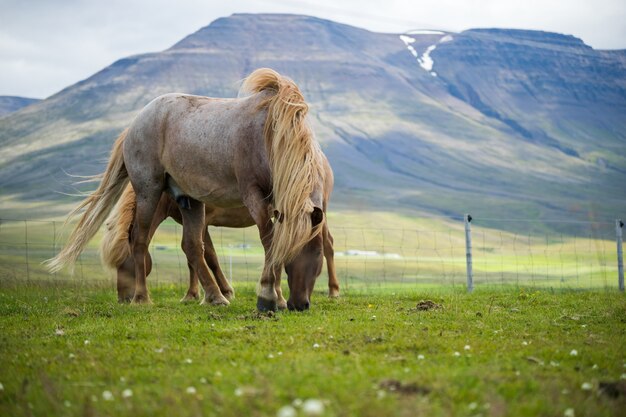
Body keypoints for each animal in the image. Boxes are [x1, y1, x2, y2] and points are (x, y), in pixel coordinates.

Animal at [101, 183, 342, 308]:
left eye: (125, 263)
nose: (122, 298)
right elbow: (200, 256)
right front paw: (195, 294)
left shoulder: (203, 220)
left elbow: (204, 256)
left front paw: (219, 292)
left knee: (328, 245)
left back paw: (333, 290)